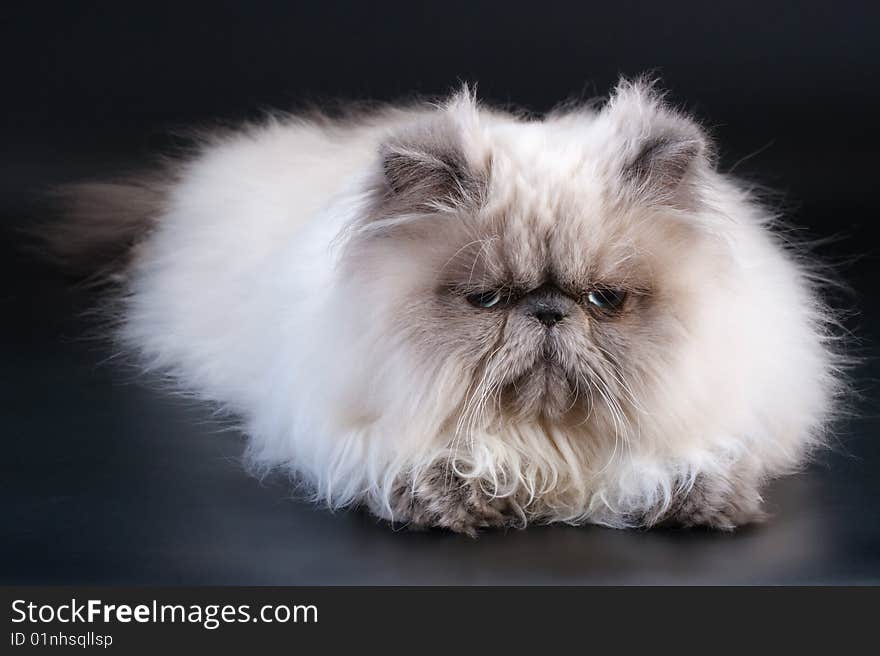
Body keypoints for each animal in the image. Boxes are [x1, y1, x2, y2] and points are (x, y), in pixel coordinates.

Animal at [44, 79, 844, 536]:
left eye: (604, 300)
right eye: (486, 299)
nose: (547, 312)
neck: (547, 449)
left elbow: (688, 463)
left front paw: (698, 503)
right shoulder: (348, 426)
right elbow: (428, 462)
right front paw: (459, 500)